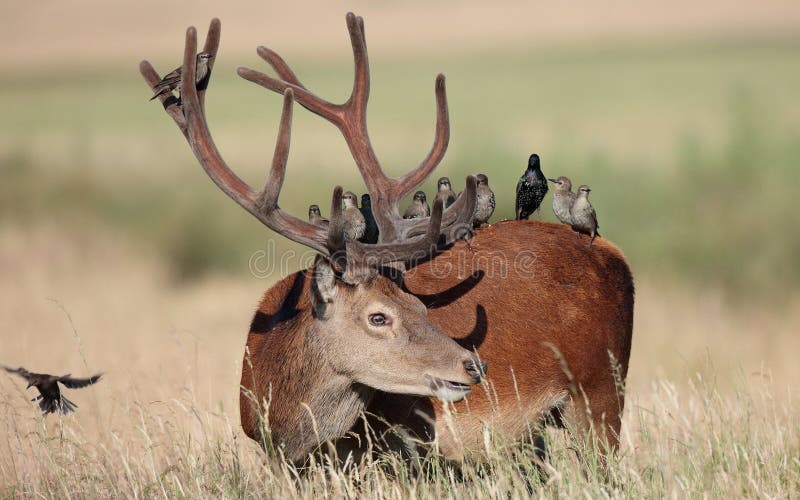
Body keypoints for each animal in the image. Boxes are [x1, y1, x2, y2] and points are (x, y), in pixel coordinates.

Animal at [140, 13, 634, 466]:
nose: (473, 364)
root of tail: (617, 257)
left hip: (601, 391)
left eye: (421, 306)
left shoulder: (404, 450)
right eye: (379, 317)